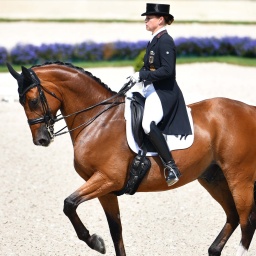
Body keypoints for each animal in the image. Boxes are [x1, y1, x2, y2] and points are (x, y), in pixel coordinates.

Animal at [6, 61, 256, 255]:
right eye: (21, 102)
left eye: (32, 100)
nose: (41, 139)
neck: (98, 121)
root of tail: (249, 110)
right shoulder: (106, 189)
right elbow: (115, 229)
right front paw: (99, 242)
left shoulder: (108, 179)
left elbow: (69, 204)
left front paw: (95, 242)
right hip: (213, 178)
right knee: (233, 216)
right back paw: (213, 250)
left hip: (239, 178)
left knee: (246, 221)